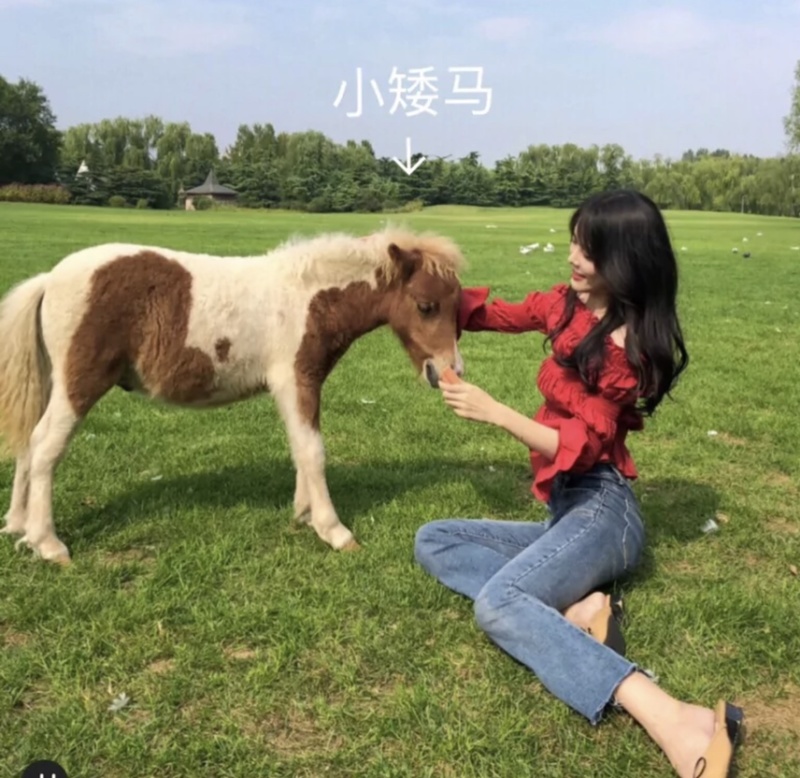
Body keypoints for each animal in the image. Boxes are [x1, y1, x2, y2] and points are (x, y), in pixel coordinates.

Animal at [0, 226, 466, 565]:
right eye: (426, 306)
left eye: (457, 305)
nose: (449, 371)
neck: (307, 299)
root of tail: (49, 280)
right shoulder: (295, 378)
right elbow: (313, 451)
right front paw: (333, 530)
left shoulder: (298, 384)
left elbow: (300, 449)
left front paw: (303, 513)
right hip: (80, 383)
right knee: (45, 446)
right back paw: (48, 543)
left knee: (28, 443)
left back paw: (18, 526)